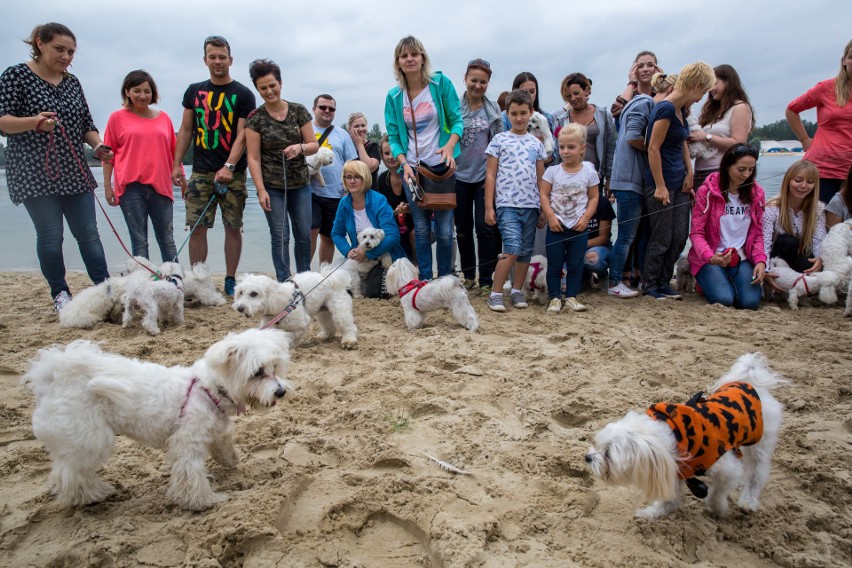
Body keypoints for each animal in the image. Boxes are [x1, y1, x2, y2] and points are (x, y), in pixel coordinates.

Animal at [22, 328, 292, 510]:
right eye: (257, 373)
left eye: (274, 368)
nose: (280, 391)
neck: (208, 389)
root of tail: (51, 377)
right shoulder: (186, 442)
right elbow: (191, 474)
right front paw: (204, 501)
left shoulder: (214, 429)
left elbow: (223, 444)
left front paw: (231, 461)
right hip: (90, 437)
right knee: (69, 474)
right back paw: (93, 494)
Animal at [584, 352, 784, 520]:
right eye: (598, 445)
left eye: (608, 454)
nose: (587, 458)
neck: (676, 437)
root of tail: (749, 383)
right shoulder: (674, 470)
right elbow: (669, 498)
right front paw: (653, 513)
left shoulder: (728, 470)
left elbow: (716, 494)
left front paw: (718, 509)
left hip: (760, 442)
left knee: (756, 473)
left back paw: (748, 501)